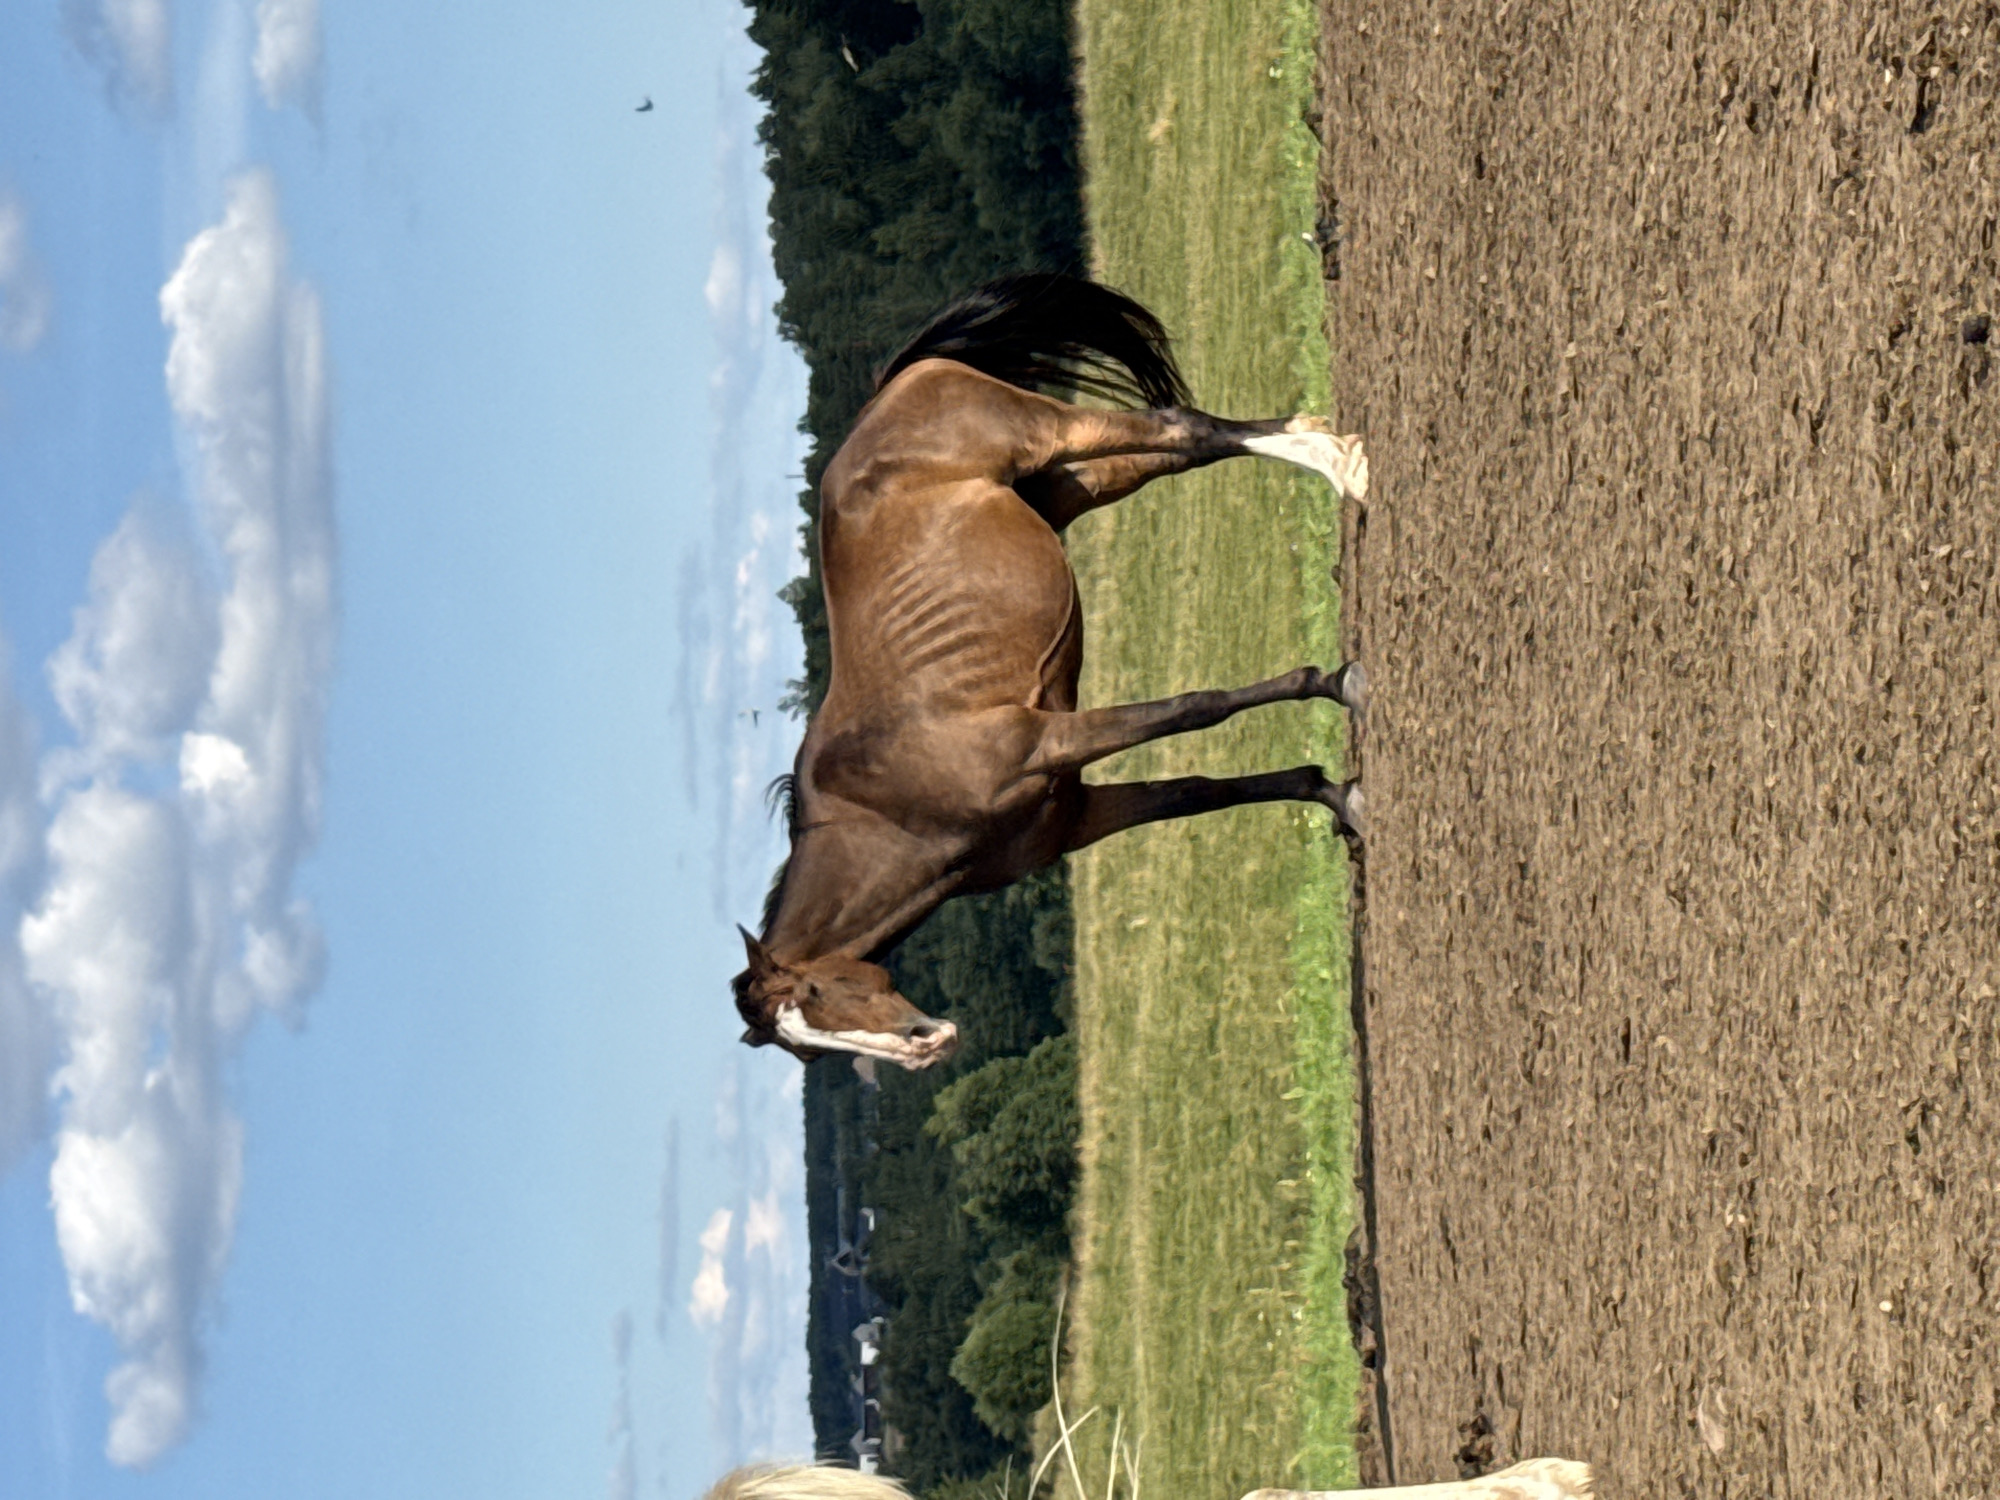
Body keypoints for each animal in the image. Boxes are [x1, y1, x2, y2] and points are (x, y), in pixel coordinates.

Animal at [734, 274, 1370, 1070]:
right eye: (806, 1050)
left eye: (816, 993)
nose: (926, 1047)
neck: (893, 808)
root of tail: (889, 391)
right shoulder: (1076, 817)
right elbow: (1201, 791)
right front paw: (1338, 795)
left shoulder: (1047, 740)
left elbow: (1199, 707)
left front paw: (1343, 683)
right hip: (1071, 482)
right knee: (1181, 452)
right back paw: (1324, 443)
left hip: (1052, 435)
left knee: (1180, 427)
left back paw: (1340, 465)